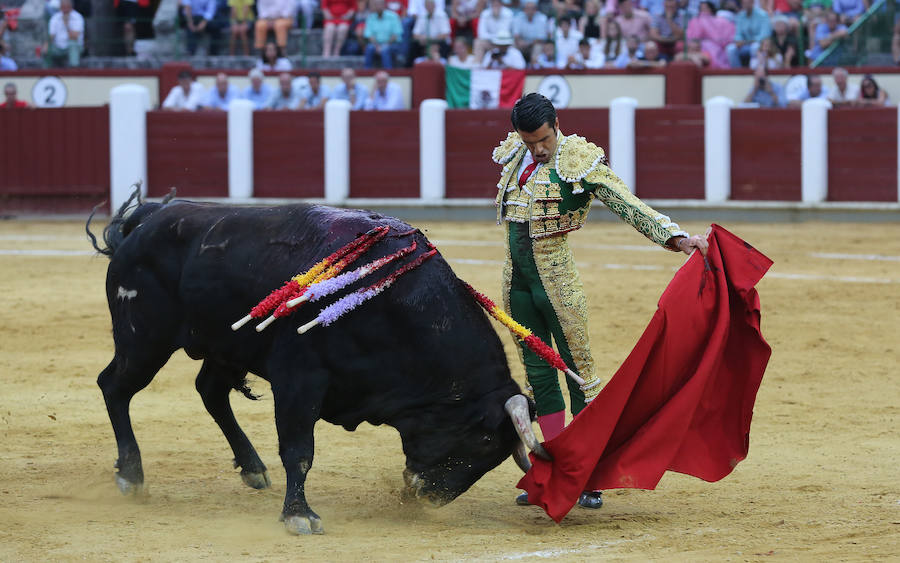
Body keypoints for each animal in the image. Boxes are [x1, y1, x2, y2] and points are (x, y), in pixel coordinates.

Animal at [88, 200, 544, 536]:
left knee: (210, 392)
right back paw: (132, 475)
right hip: (144, 339)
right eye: (484, 442)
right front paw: (299, 515)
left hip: (224, 345)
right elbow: (299, 450)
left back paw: (252, 469)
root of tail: (146, 220)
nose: (426, 498)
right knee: (115, 387)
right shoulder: (298, 379)